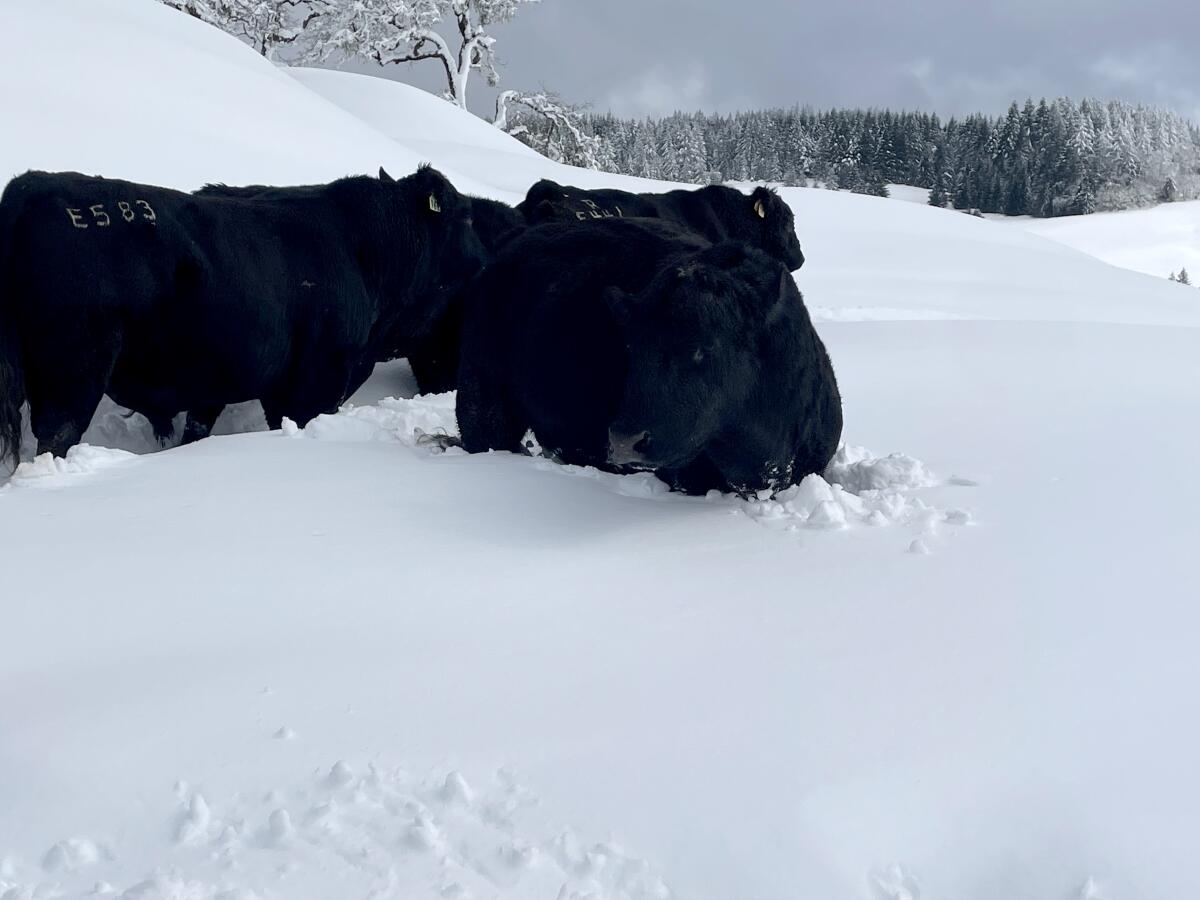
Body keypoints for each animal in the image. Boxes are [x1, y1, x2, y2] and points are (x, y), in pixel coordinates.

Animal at [2, 164, 487, 465]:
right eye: (465, 218)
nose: (484, 257)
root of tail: (32, 187)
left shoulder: (223, 388)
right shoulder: (313, 385)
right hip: (74, 376)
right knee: (57, 435)